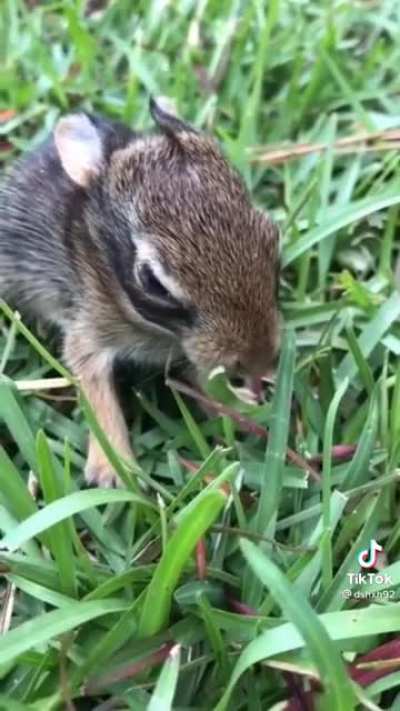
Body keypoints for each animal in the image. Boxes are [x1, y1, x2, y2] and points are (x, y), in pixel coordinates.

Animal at [0, 99, 280, 487]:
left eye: (273, 238)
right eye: (153, 283)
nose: (257, 361)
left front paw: (242, 411)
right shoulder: (88, 332)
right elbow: (96, 391)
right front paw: (112, 471)